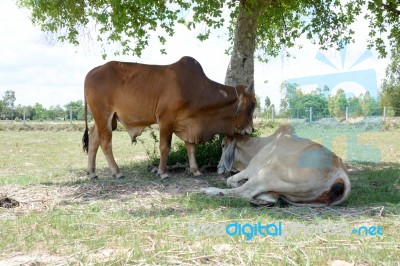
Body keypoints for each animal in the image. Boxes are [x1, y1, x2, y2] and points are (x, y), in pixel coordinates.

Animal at [82, 57, 255, 180]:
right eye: (251, 106)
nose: (251, 130)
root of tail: (92, 72)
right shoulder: (166, 120)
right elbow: (165, 147)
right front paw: (163, 172)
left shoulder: (188, 123)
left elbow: (190, 147)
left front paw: (195, 170)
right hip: (104, 115)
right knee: (105, 142)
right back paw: (116, 172)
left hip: (106, 119)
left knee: (93, 138)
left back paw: (92, 172)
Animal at [200, 124, 350, 206]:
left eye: (222, 145)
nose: (218, 167)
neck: (259, 145)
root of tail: (338, 170)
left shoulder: (250, 169)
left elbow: (230, 180)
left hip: (267, 173)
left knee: (244, 192)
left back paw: (210, 190)